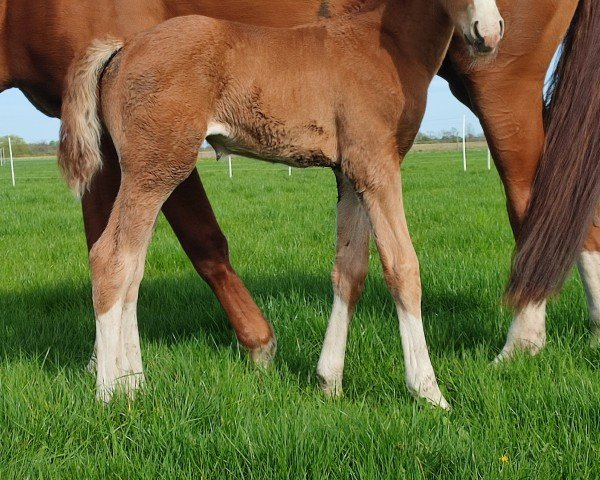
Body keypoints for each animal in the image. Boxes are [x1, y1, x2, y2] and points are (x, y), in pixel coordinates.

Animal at [1, 0, 596, 386]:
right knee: (112, 258)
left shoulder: (352, 173)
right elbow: (402, 267)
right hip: (156, 166)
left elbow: (349, 269)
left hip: (146, 170)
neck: (382, 44)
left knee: (132, 264)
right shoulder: (377, 167)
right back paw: (112, 392)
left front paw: (329, 380)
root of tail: (122, 50)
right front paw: (428, 391)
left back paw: (133, 378)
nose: (489, 30)